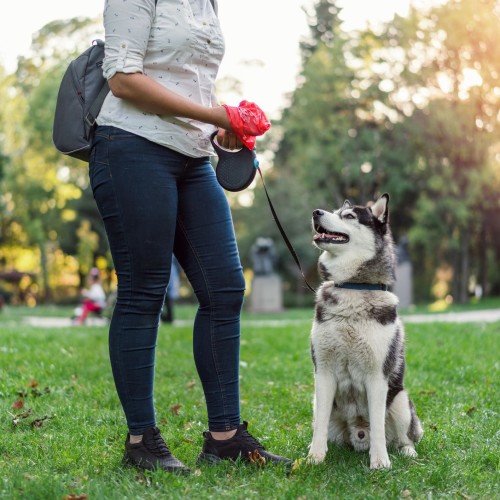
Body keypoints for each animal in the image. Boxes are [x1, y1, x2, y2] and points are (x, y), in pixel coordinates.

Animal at [308, 192, 422, 468]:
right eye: (333, 211)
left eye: (348, 216)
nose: (316, 212)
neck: (353, 288)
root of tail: (358, 434)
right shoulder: (323, 372)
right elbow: (319, 427)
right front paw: (314, 457)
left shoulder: (377, 376)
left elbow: (379, 425)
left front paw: (380, 462)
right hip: (317, 403)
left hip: (401, 400)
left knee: (404, 437)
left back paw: (408, 452)